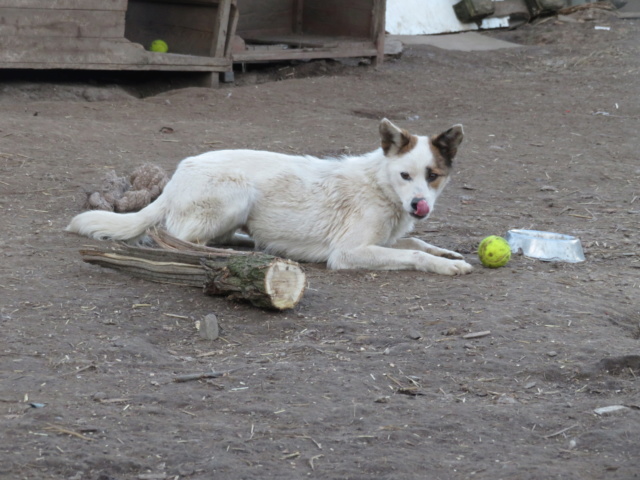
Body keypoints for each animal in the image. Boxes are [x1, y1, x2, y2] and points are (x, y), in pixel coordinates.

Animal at [67, 119, 472, 276]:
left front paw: (448, 253)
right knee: (173, 239)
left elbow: (416, 241)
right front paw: (444, 265)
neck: (381, 185)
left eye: (432, 176)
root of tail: (178, 173)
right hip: (236, 193)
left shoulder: (385, 239)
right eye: (405, 175)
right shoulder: (348, 253)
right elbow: (413, 253)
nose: (419, 206)